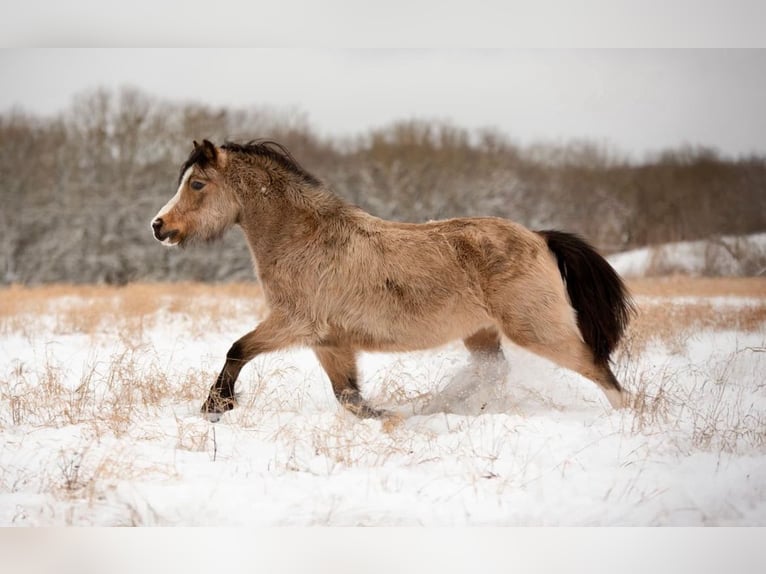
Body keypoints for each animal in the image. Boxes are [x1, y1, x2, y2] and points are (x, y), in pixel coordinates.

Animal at [151, 139, 634, 421]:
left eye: (197, 184)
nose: (159, 227)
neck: (305, 238)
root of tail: (539, 237)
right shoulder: (329, 341)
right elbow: (350, 397)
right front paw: (386, 416)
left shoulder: (296, 323)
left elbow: (237, 349)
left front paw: (215, 407)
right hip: (482, 332)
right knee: (492, 370)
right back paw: (440, 405)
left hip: (538, 330)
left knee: (600, 372)